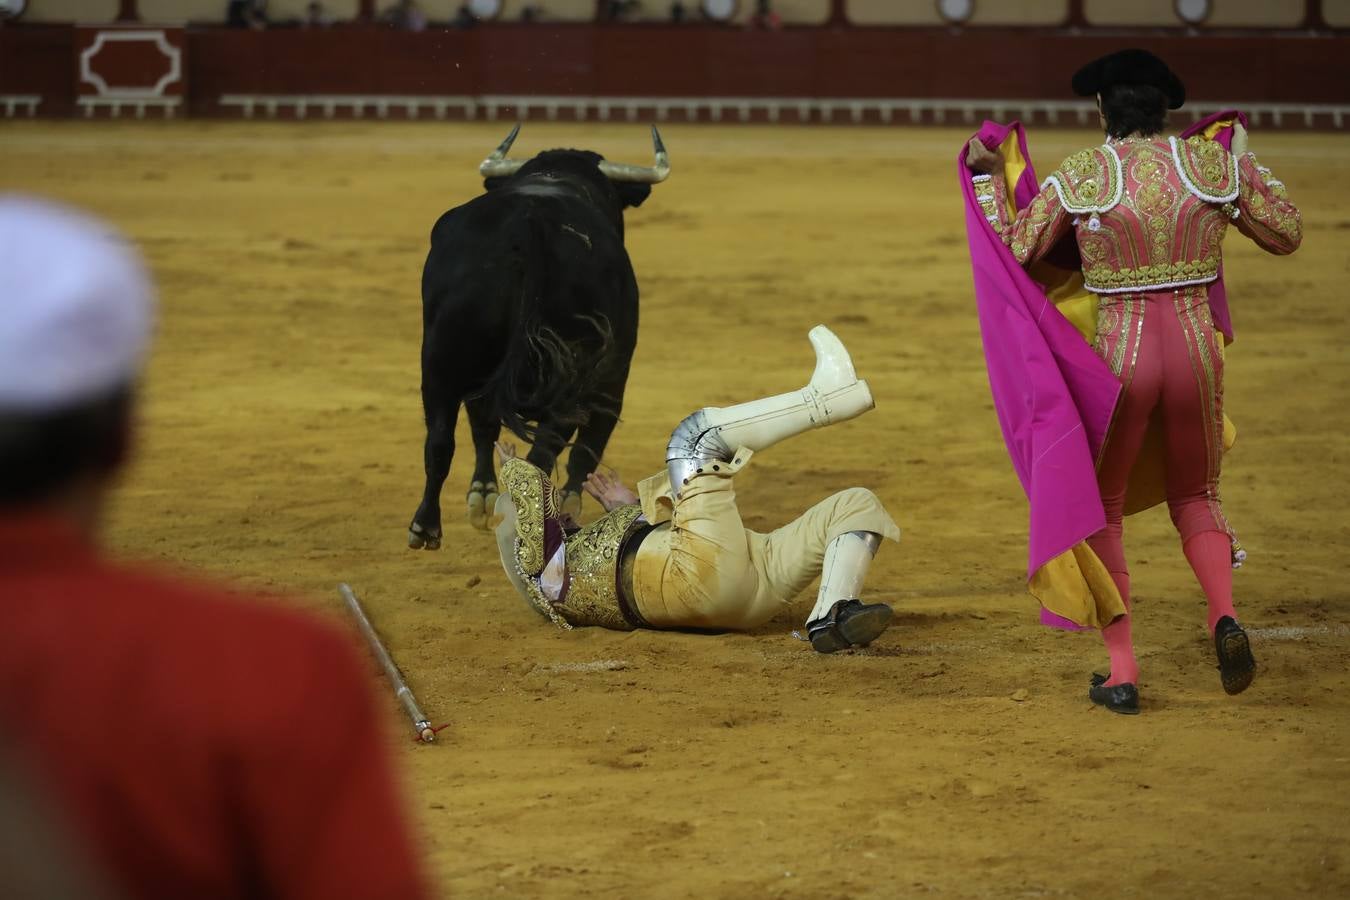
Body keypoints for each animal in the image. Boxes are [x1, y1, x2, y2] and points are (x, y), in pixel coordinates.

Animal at [405, 126, 669, 550]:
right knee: (546, 448)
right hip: (577, 371)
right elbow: (588, 447)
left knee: (441, 439)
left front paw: (482, 495)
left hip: (442, 357)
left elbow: (482, 430)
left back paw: (425, 527)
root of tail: (530, 226)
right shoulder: (614, 376)